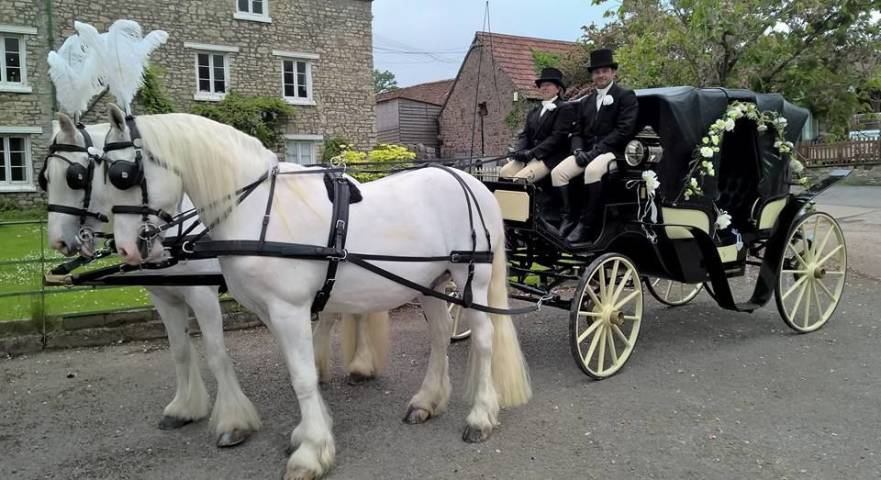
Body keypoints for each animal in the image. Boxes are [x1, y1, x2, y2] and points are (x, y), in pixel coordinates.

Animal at [44, 114, 389, 450]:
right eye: (46, 177)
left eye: (77, 177)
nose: (59, 242)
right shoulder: (164, 297)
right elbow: (180, 350)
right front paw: (184, 408)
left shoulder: (202, 295)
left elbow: (215, 352)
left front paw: (233, 422)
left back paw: (357, 364)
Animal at [100, 105, 531, 480]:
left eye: (121, 173)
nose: (128, 249)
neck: (258, 210)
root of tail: (471, 182)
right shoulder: (269, 311)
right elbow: (297, 370)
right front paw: (311, 433)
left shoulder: (288, 309)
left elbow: (303, 377)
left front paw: (310, 454)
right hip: (431, 283)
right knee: (441, 337)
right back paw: (427, 401)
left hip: (472, 278)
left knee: (485, 340)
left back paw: (480, 415)